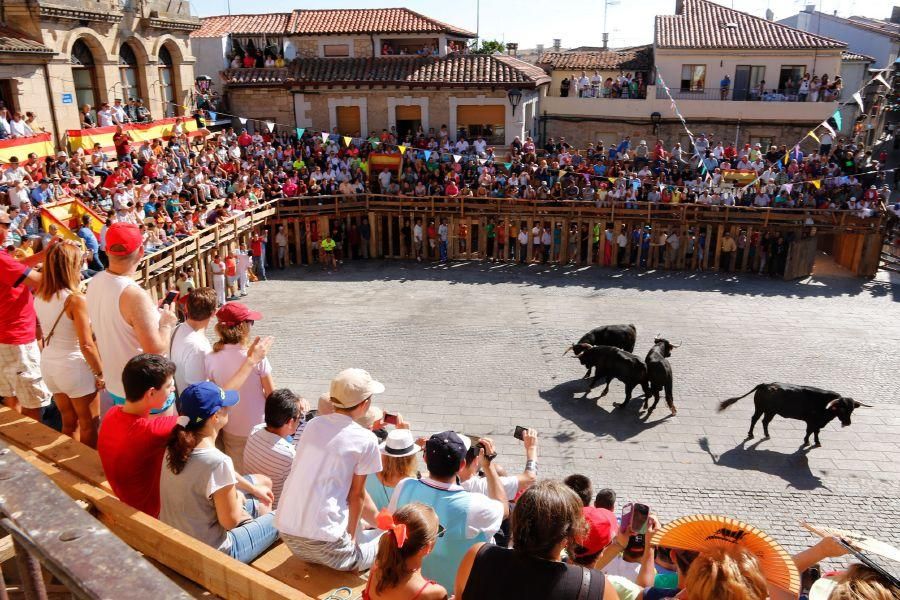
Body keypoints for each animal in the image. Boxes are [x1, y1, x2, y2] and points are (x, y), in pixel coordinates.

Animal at [716, 384, 872, 446]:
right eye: (841, 409)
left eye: (851, 410)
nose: (847, 423)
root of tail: (765, 385)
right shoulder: (811, 421)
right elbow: (810, 431)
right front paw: (807, 441)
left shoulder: (818, 422)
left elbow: (816, 432)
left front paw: (817, 442)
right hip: (761, 408)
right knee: (755, 419)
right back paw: (750, 434)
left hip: (770, 411)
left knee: (764, 421)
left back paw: (766, 435)